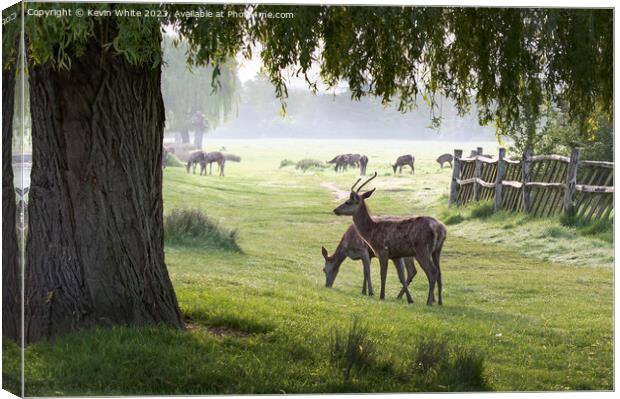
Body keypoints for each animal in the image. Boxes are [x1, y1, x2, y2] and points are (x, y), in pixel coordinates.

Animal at [334, 172, 446, 306]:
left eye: (348, 202)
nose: (335, 210)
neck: (371, 232)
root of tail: (440, 229)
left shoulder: (383, 251)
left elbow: (383, 274)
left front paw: (381, 296)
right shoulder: (396, 255)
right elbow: (401, 277)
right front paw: (409, 299)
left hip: (422, 249)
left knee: (432, 272)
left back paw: (429, 301)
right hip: (437, 250)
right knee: (439, 272)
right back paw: (439, 302)